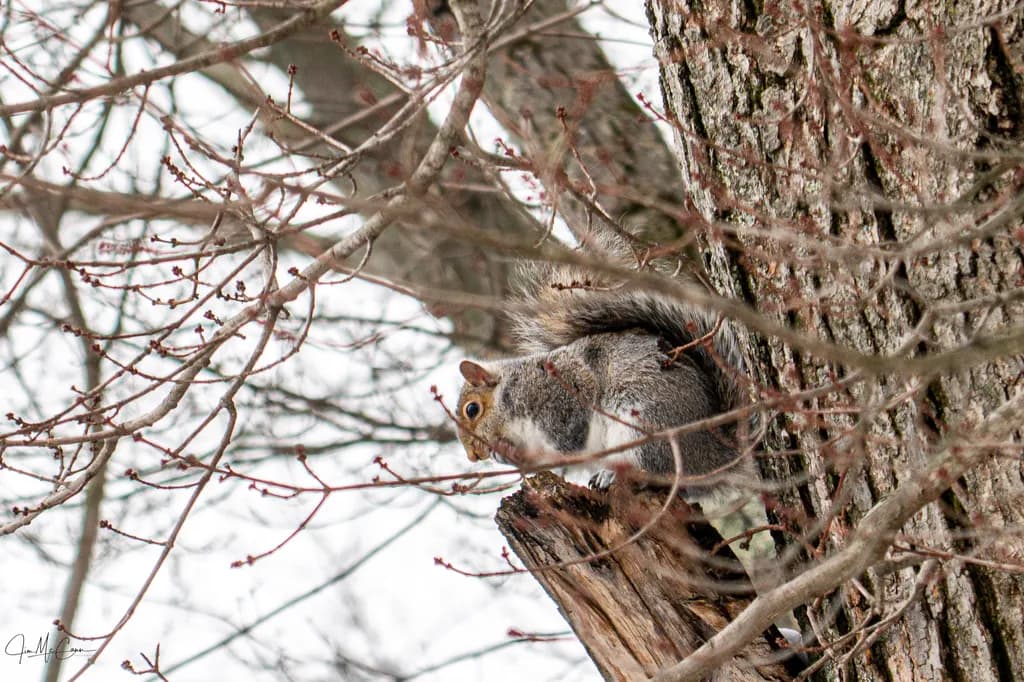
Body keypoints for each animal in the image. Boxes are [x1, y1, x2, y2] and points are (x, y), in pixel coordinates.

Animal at [454, 237, 755, 500]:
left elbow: (568, 441)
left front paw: (517, 454)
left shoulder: (560, 399)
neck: (511, 391)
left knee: (656, 471)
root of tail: (713, 458)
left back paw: (616, 475)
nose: (473, 456)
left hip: (648, 426)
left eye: (472, 410)